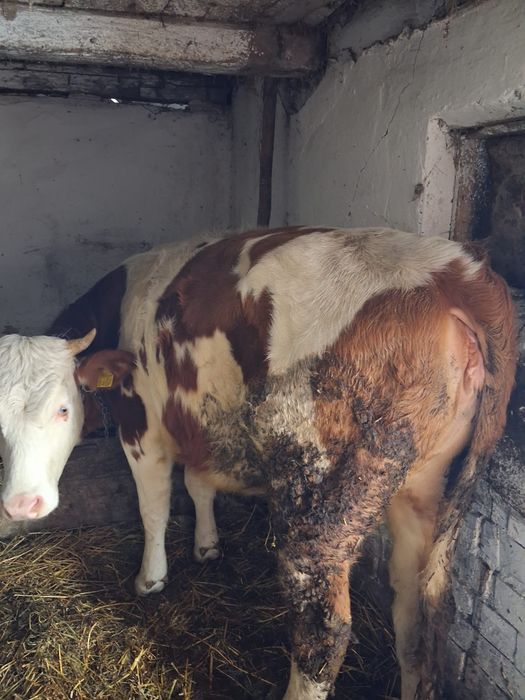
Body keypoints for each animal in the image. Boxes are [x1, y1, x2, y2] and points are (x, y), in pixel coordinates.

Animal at [0, 227, 517, 699]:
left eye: (62, 408)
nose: (22, 504)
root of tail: (455, 269)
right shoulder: (199, 421)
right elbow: (199, 484)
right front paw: (207, 545)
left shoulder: (141, 427)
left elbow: (154, 507)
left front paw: (151, 578)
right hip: (423, 487)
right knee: (418, 615)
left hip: (316, 501)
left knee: (323, 632)